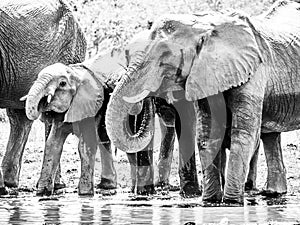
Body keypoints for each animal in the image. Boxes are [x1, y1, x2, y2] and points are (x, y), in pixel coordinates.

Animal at [103, 0, 298, 205]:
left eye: (164, 56)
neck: (205, 28)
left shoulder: (252, 71)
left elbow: (242, 134)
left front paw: (231, 203)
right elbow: (207, 132)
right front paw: (210, 202)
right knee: (271, 135)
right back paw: (274, 193)